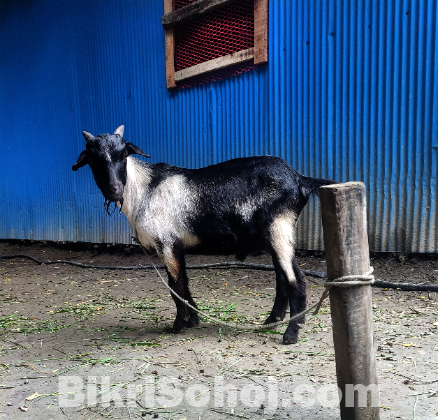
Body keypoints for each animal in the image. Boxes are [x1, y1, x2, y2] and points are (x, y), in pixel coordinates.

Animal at [72, 125, 334, 344]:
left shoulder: (166, 243)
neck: (144, 189)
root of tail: (299, 179)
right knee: (281, 278)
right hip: (274, 234)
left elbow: (175, 285)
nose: (114, 190)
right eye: (92, 160)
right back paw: (270, 322)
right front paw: (193, 320)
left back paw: (291, 333)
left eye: (123, 155)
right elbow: (183, 282)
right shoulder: (176, 245)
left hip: (278, 227)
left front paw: (178, 325)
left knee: (296, 279)